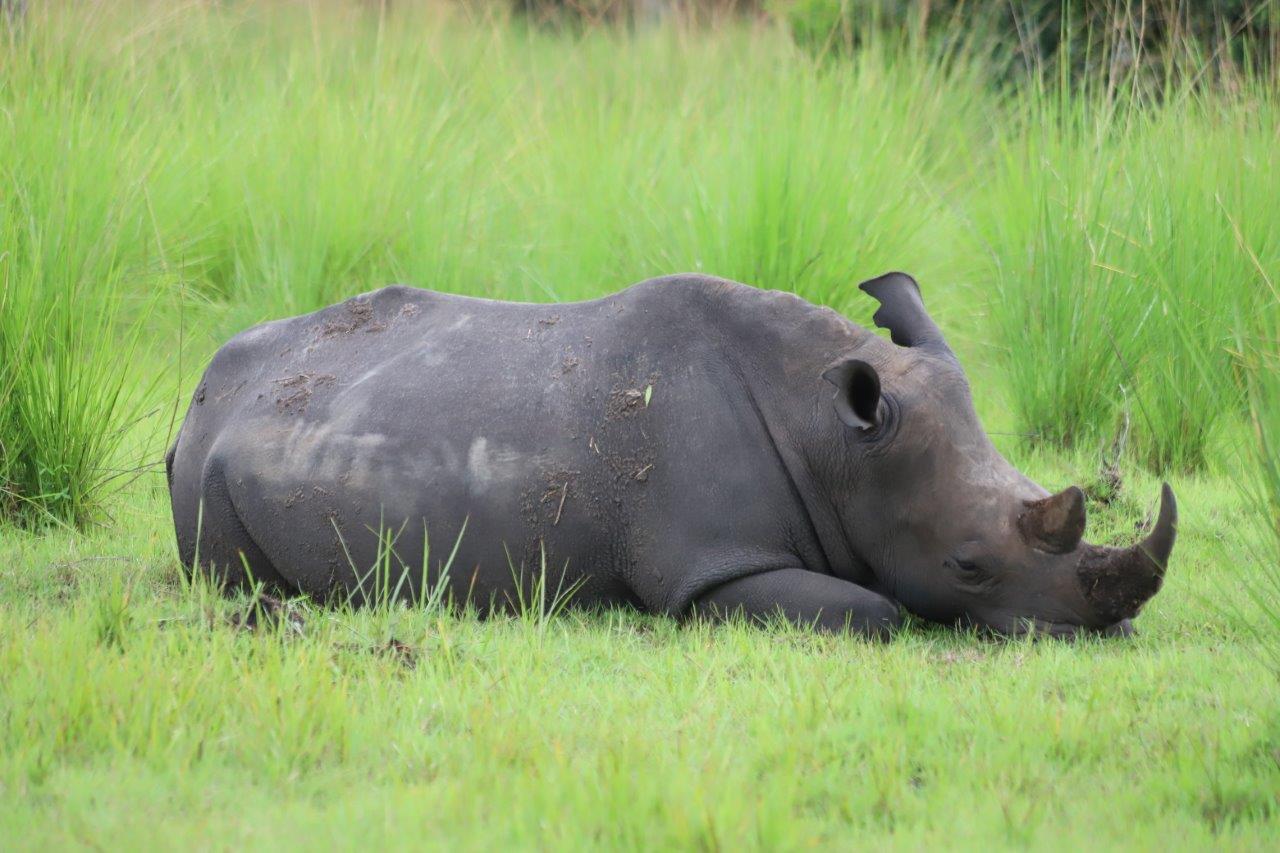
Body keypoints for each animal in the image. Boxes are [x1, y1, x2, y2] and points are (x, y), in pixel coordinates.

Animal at [166, 272, 1176, 638]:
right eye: (967, 565)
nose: (1104, 629)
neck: (832, 438)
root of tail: (202, 389)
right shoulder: (710, 566)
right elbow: (878, 609)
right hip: (218, 463)